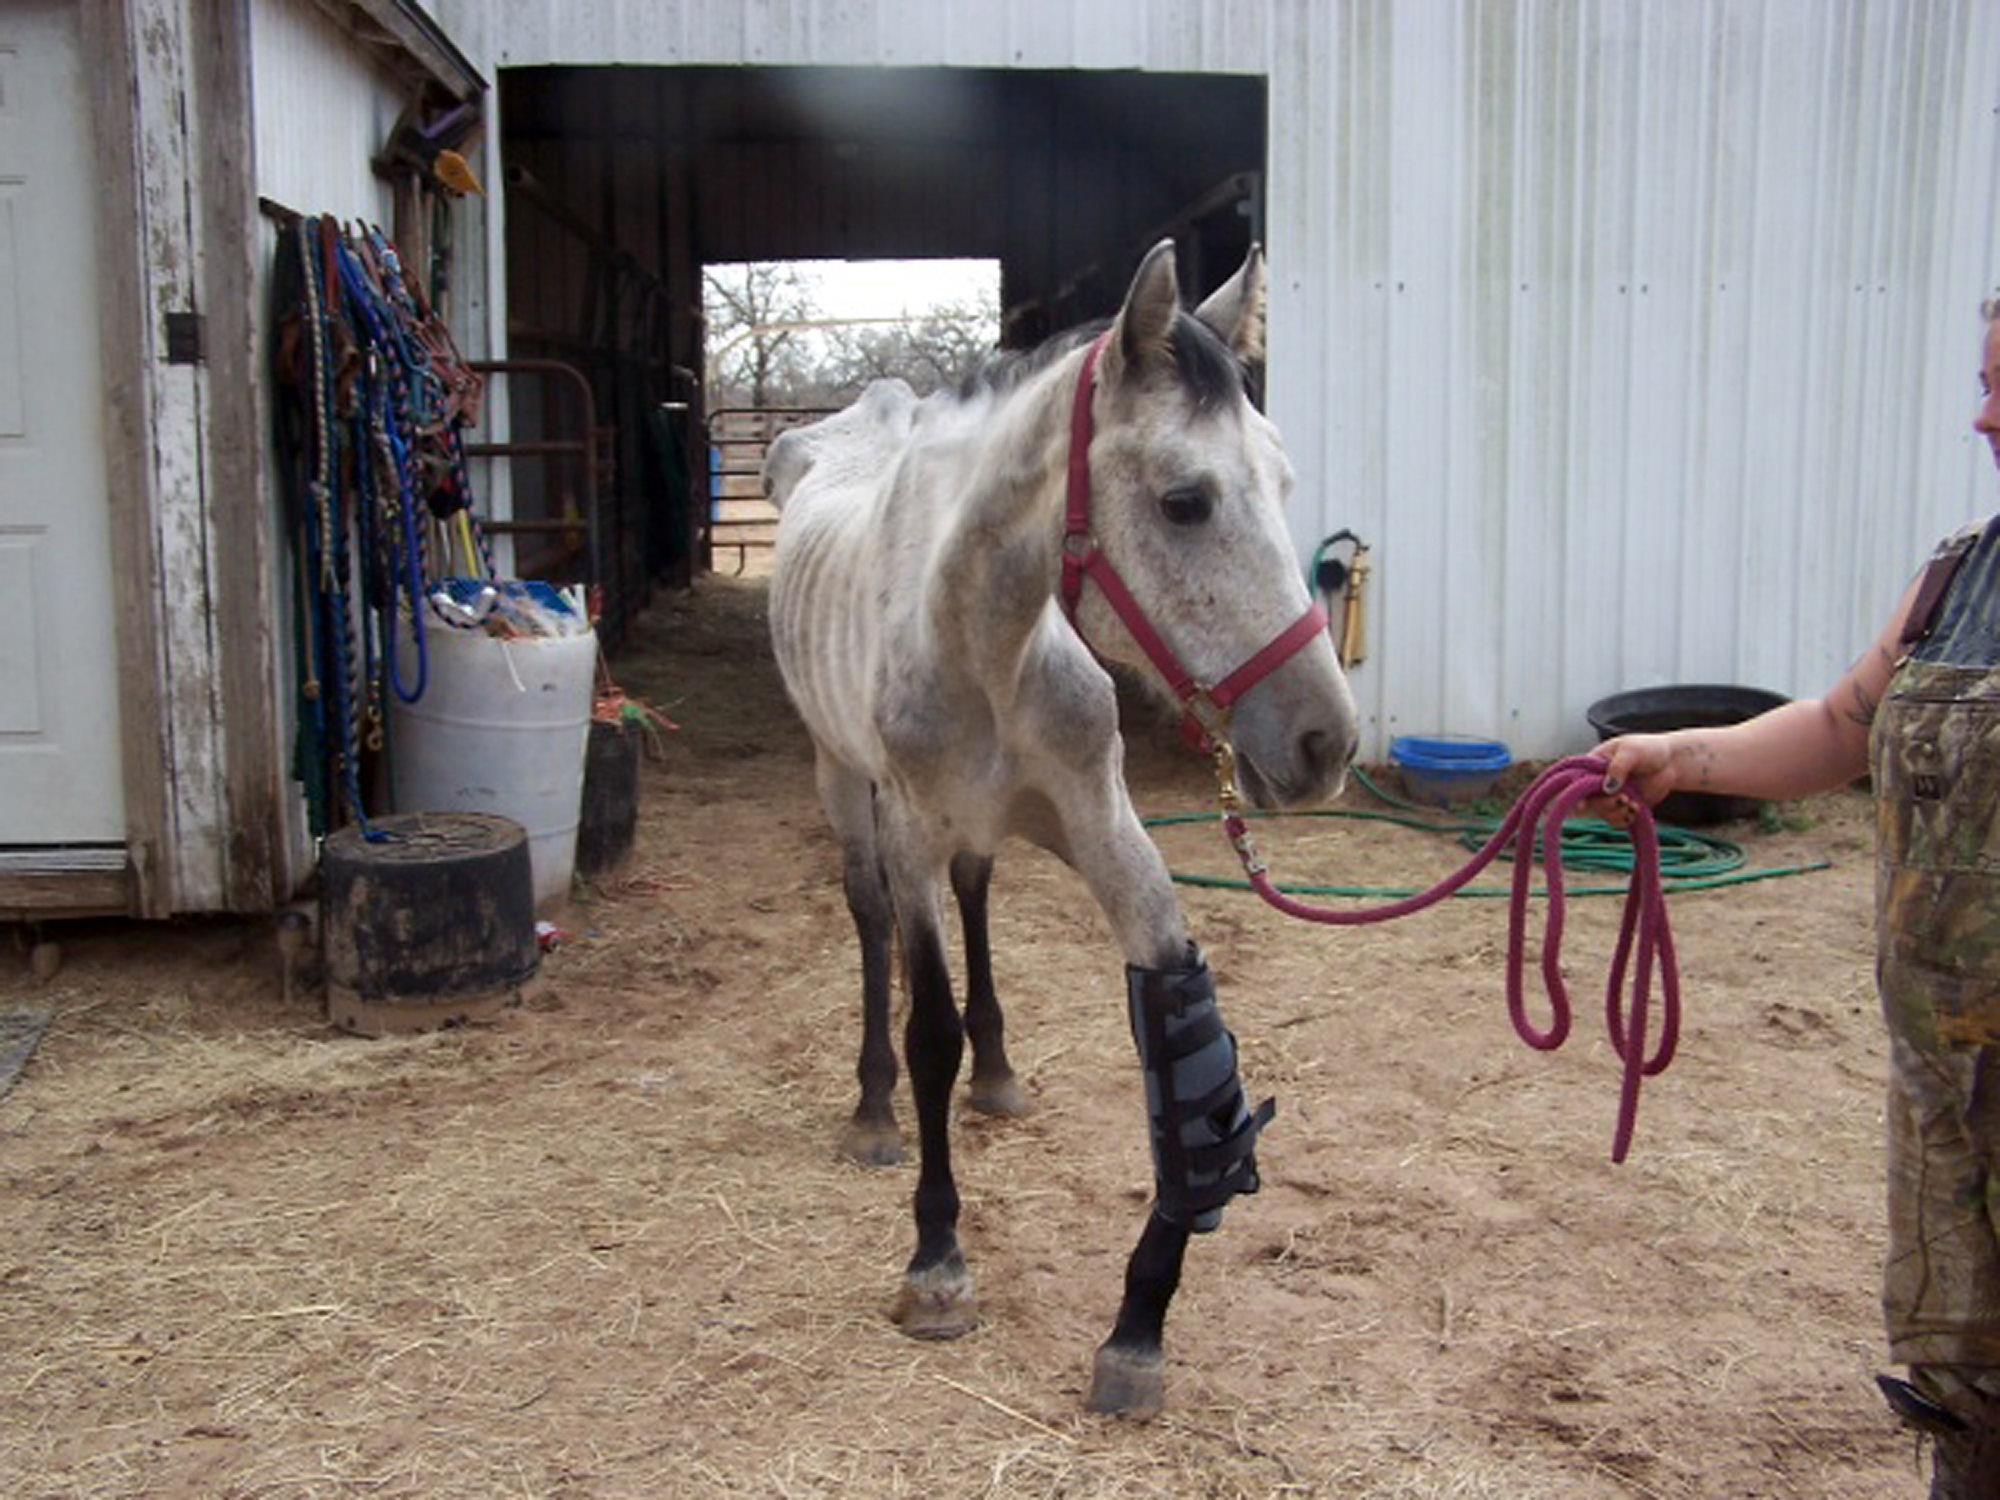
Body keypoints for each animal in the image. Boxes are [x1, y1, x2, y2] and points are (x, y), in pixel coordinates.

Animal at [764, 244, 1360, 1424]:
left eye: (1280, 484)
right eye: (1183, 501)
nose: (1325, 742)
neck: (980, 640)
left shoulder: (1101, 824)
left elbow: (1182, 1037)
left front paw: (1138, 1327)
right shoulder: (909, 830)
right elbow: (927, 1029)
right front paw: (937, 1266)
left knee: (979, 897)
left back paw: (998, 1074)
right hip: (843, 785)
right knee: (867, 926)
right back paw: (871, 1111)